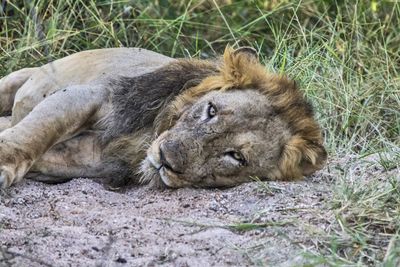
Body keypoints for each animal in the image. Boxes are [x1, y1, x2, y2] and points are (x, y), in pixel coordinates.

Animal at [0, 47, 326, 191]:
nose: (166, 158)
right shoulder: (95, 94)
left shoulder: (87, 158)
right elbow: (36, 131)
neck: (149, 134)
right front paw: (5, 162)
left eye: (236, 157)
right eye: (211, 110)